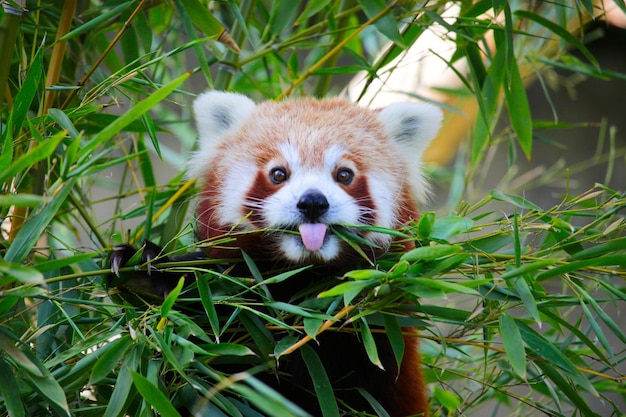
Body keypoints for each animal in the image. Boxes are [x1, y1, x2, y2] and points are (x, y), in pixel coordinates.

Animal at [109, 91, 442, 416]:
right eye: (278, 173)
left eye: (344, 174)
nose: (312, 202)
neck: (298, 283)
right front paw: (144, 269)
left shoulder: (376, 332)